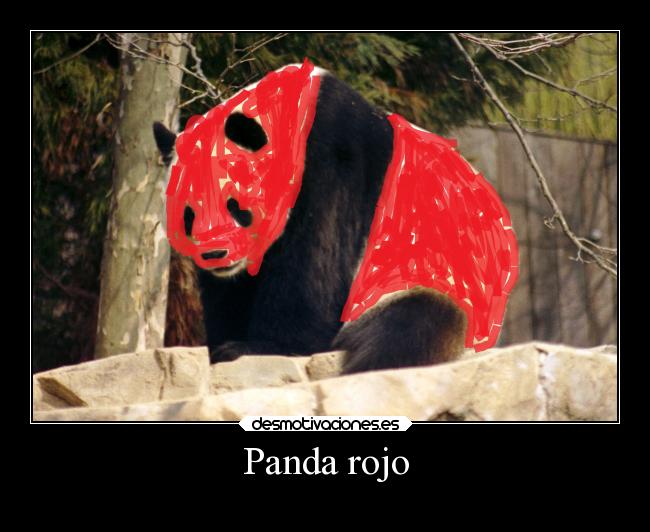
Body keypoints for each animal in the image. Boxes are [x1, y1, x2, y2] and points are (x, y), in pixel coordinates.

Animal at [154, 60, 518, 374]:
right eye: (189, 211)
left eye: (234, 204)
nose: (215, 254)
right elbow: (230, 290)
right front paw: (223, 342)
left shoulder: (334, 163)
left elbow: (316, 262)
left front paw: (258, 347)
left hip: (424, 281)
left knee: (411, 330)